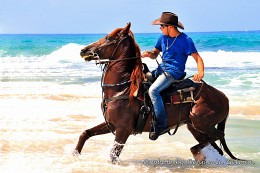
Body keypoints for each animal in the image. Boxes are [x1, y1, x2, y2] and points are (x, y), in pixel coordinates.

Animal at [74, 22, 241, 162]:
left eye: (109, 37)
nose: (83, 50)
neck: (122, 89)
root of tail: (223, 97)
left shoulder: (123, 130)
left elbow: (113, 156)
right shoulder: (111, 124)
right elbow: (85, 133)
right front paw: (74, 154)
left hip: (199, 121)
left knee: (218, 136)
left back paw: (196, 152)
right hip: (195, 127)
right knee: (215, 146)